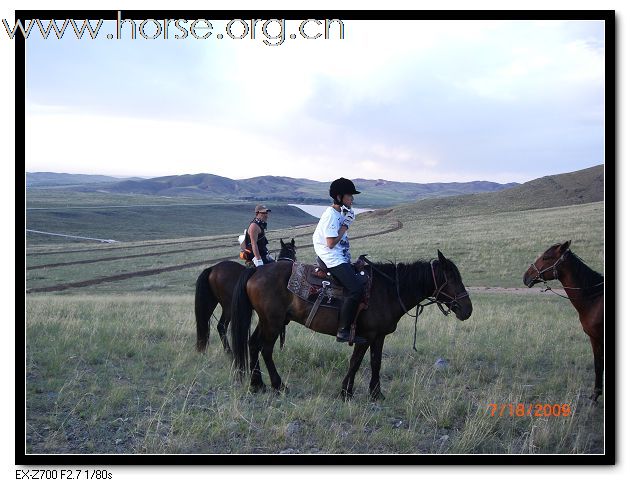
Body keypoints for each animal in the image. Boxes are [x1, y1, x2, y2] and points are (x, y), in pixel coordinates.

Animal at [232, 250, 474, 398]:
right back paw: (278, 385)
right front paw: (346, 393)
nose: (467, 310)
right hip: (273, 323)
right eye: (452, 279)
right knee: (265, 349)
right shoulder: (365, 336)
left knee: (253, 344)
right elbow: (356, 362)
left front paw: (376, 394)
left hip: (267, 321)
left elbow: (375, 362)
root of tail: (257, 270)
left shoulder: (378, 337)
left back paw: (257, 384)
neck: (388, 290)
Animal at [524, 239, 608, 400]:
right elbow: (598, 365)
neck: (594, 299)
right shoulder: (595, 339)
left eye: (546, 257)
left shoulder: (599, 338)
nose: (526, 276)